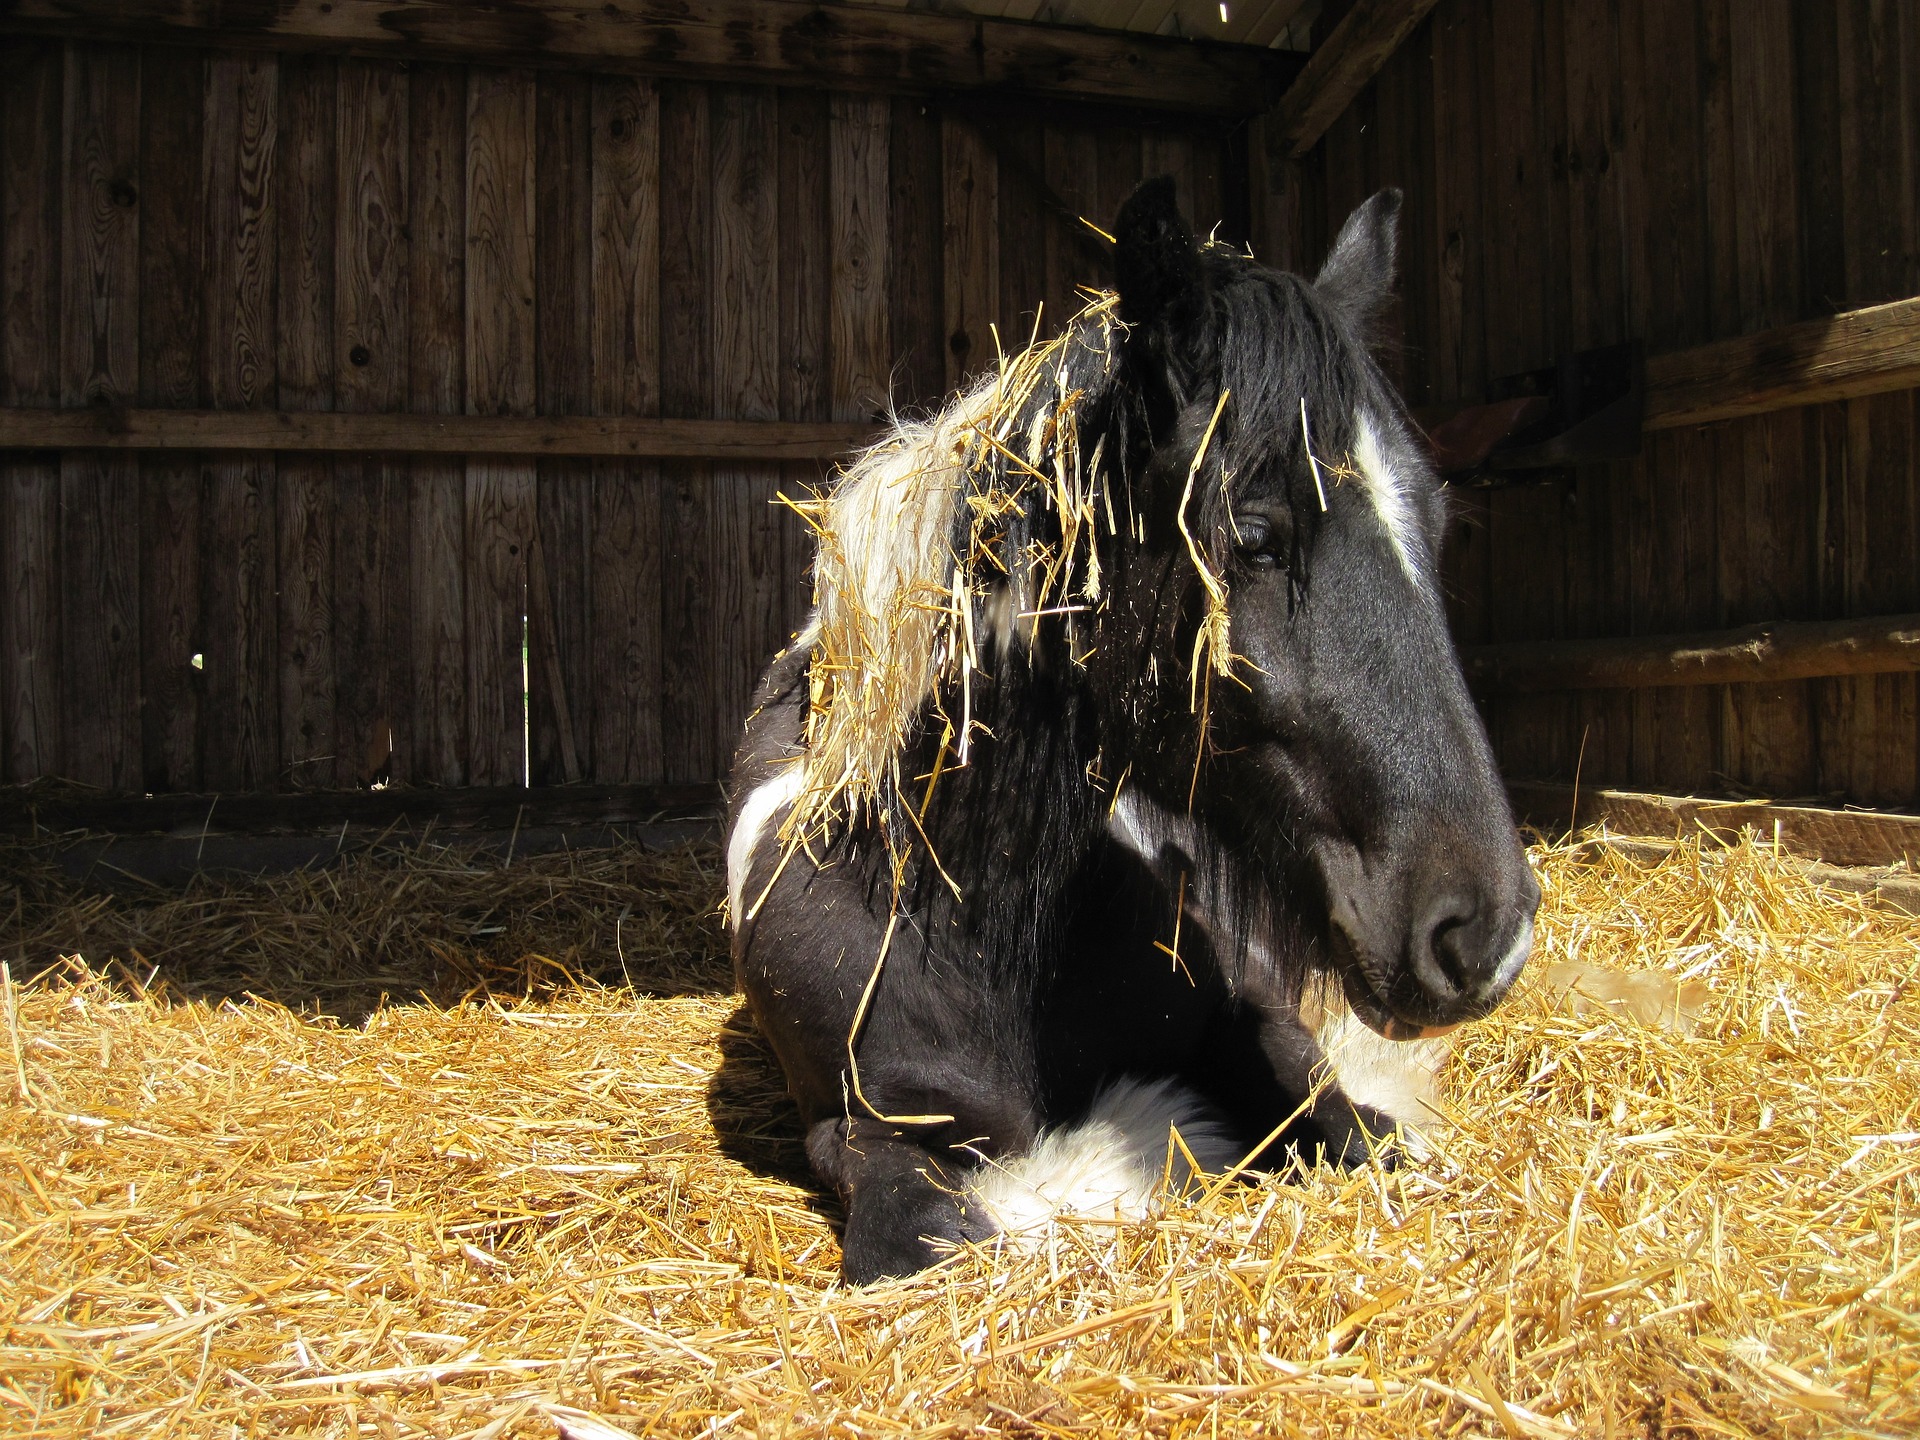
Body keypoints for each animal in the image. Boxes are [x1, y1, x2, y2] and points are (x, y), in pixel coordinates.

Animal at [725, 177, 1536, 1282]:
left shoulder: (1260, 1021)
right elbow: (938, 1225)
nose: (1485, 932)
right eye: (1255, 535)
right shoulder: (862, 1137)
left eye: (1438, 525)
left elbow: (1355, 1132)